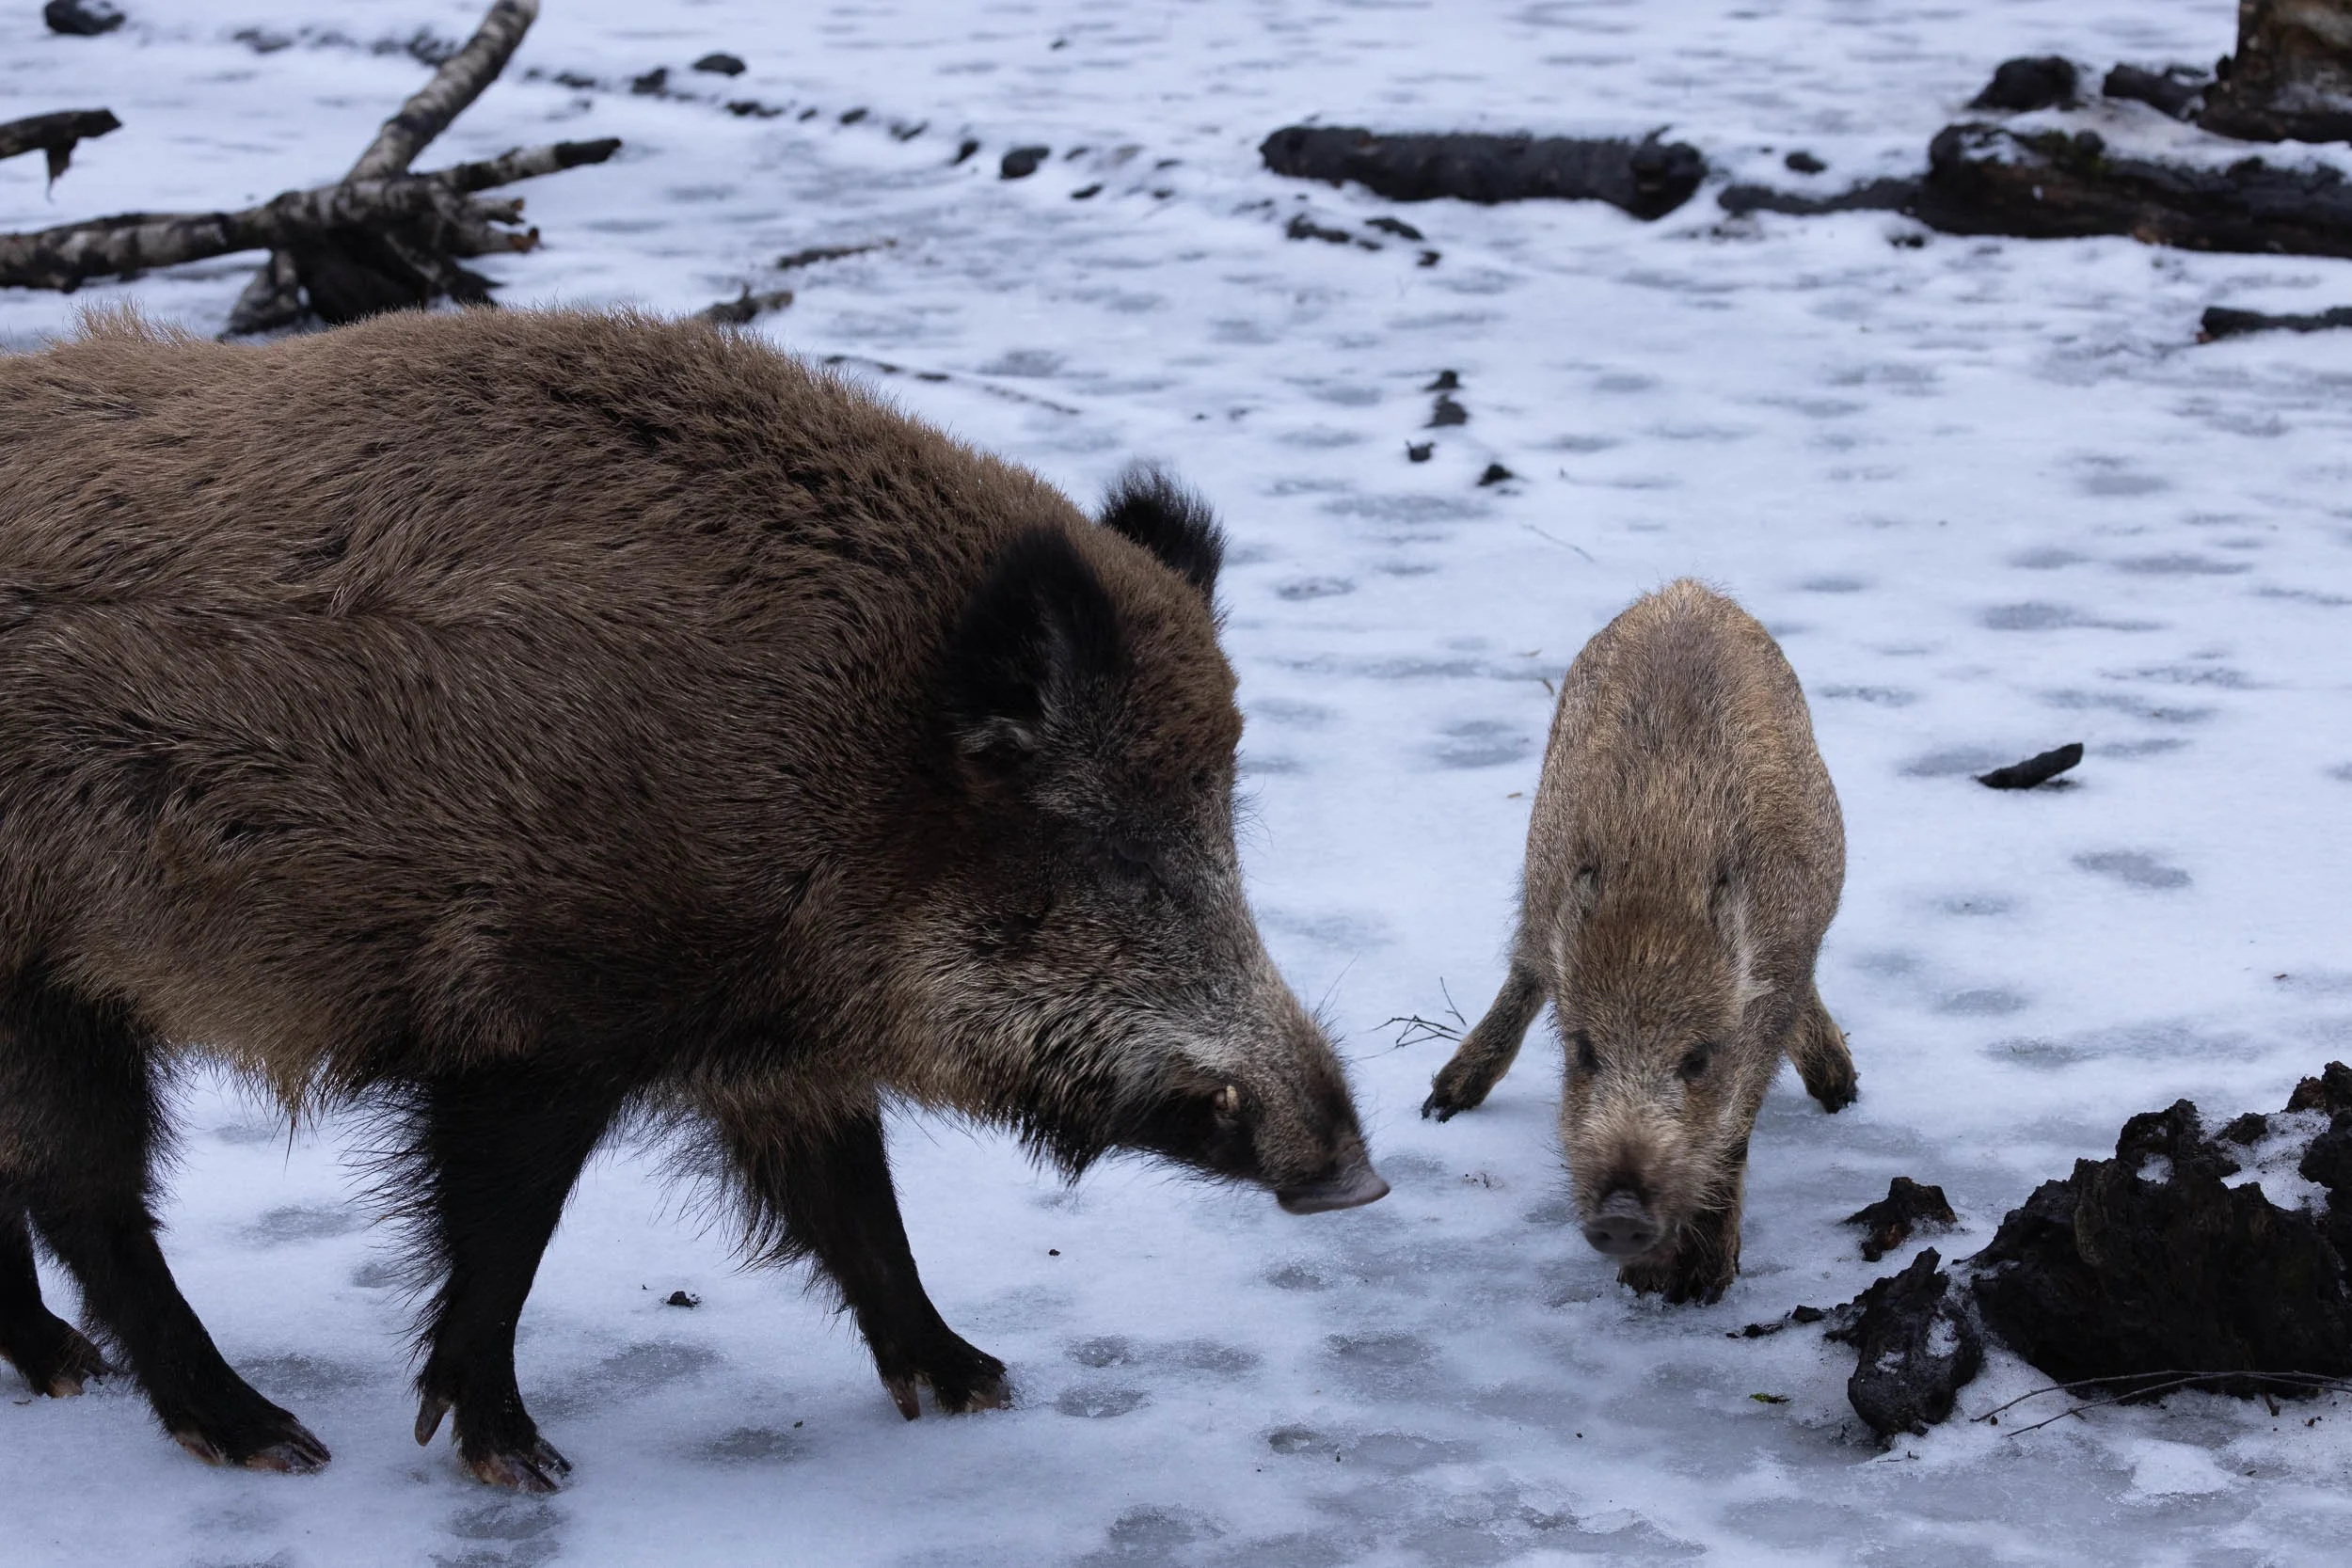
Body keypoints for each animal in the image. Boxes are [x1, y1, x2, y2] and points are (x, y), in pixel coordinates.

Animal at [0, 308, 1385, 1491]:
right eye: (1111, 851)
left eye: (1224, 827)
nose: (1356, 1175)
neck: (844, 763)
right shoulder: (534, 1008)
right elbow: (506, 1229)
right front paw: (521, 1460)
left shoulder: (771, 1046)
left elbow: (856, 1201)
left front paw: (976, 1382)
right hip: (50, 972)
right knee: (85, 1192)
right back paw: (261, 1434)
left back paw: (70, 1371)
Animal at [1421, 580, 1855, 1303]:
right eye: (1583, 1052)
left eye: (1698, 1058)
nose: (1621, 1215)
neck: (1656, 897)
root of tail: (1687, 589)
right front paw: (1651, 1285)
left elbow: (1735, 1128)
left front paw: (1696, 1288)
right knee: (1527, 963)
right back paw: (1441, 1104)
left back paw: (1840, 1091)